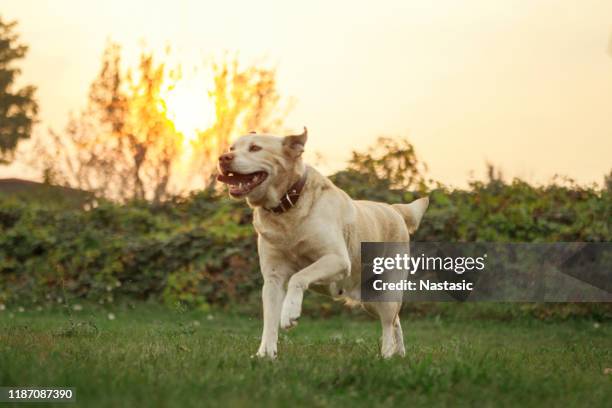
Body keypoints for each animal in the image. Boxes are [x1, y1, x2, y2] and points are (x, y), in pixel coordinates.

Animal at [218, 127, 428, 356]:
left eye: (255, 148)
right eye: (231, 148)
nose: (223, 158)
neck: (288, 207)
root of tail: (394, 209)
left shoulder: (337, 260)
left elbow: (299, 277)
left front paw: (290, 312)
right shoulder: (273, 278)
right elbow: (270, 321)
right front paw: (265, 355)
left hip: (385, 290)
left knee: (389, 323)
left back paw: (386, 355)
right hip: (370, 300)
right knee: (396, 321)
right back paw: (400, 354)